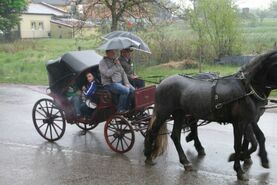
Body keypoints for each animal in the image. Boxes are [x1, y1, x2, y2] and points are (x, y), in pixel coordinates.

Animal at [143, 49, 276, 180]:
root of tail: (162, 82)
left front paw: (246, 158)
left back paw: (186, 161)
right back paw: (148, 155)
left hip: (179, 114)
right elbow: (240, 145)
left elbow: (254, 142)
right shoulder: (239, 122)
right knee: (153, 132)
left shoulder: (248, 120)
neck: (245, 88)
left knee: (176, 136)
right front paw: (239, 168)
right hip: (163, 112)